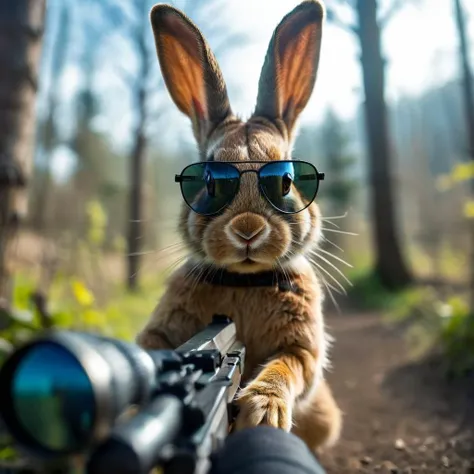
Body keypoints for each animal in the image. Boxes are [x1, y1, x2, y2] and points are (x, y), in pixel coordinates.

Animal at [135, 0, 342, 452]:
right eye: (209, 181)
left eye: (286, 180)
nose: (247, 230)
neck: (244, 281)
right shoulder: (161, 331)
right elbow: (150, 347)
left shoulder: (302, 350)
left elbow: (287, 366)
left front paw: (263, 412)